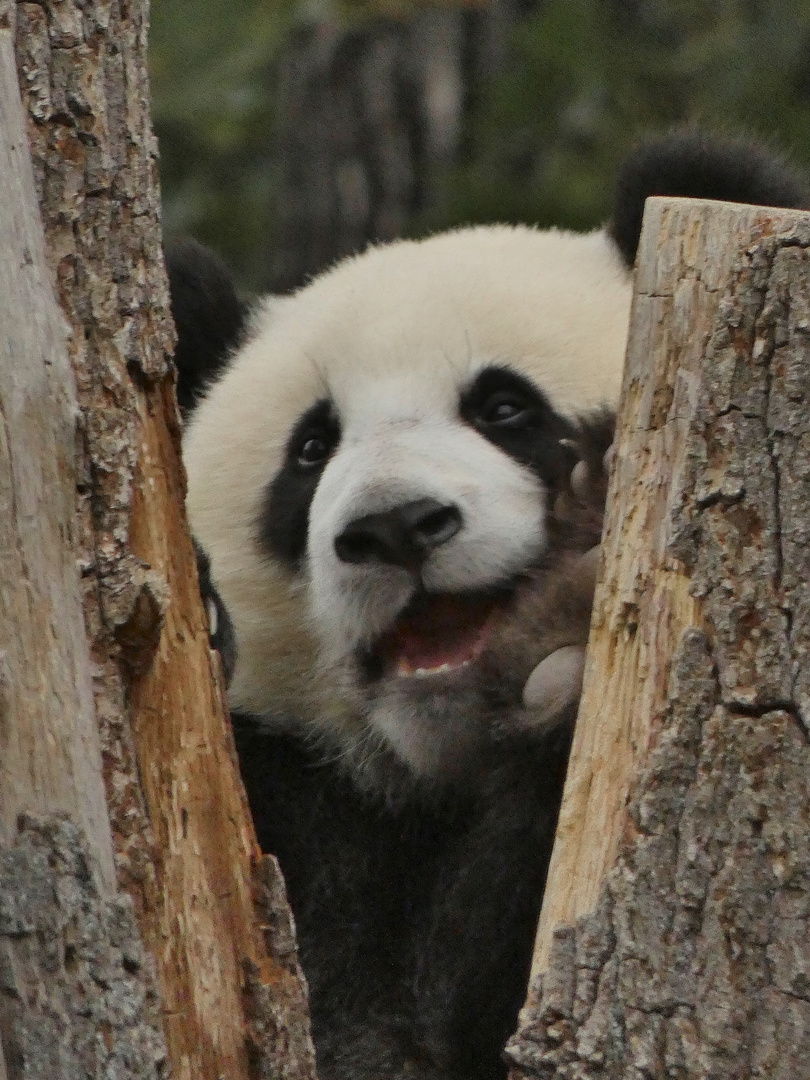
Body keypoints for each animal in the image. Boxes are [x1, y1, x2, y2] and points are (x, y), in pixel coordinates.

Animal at [169, 130, 807, 1075]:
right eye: (311, 450)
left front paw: (564, 619)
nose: (395, 525)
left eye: (505, 407)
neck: (439, 782)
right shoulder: (294, 818)